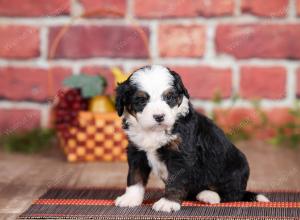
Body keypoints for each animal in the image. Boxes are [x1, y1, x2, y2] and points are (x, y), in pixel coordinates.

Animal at [113, 64, 268, 212]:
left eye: (169, 97)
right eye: (141, 100)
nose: (159, 117)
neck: (154, 131)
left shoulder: (181, 155)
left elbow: (175, 181)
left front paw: (168, 203)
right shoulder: (137, 151)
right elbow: (135, 177)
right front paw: (130, 199)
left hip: (237, 168)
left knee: (232, 195)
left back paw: (208, 195)